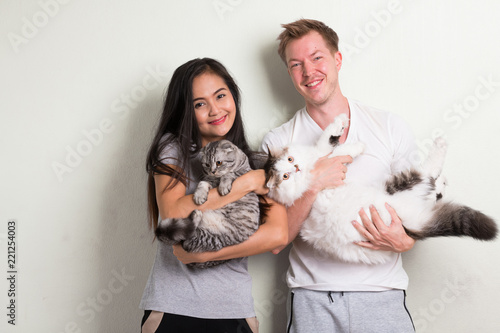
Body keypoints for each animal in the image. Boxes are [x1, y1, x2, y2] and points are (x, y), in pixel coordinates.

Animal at [156, 139, 262, 268]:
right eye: (207, 164)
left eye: (219, 163)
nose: (212, 171)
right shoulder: (209, 179)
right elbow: (202, 183)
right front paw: (199, 196)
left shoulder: (243, 173)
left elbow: (229, 174)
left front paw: (224, 186)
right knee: (186, 239)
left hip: (211, 238)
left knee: (187, 241)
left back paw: (196, 215)